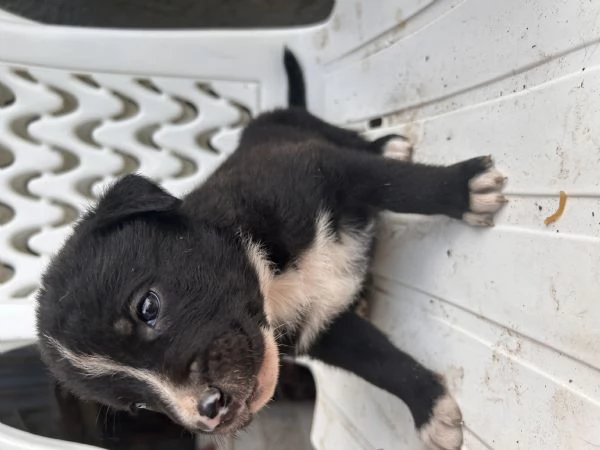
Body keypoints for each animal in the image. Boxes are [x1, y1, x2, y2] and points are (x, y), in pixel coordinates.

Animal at [36, 53, 506, 450]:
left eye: (148, 307)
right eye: (134, 403)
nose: (211, 412)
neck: (270, 276)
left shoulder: (327, 169)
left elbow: (401, 184)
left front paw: (465, 189)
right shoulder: (323, 330)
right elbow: (378, 362)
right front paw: (429, 409)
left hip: (303, 126)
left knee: (348, 138)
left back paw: (387, 143)